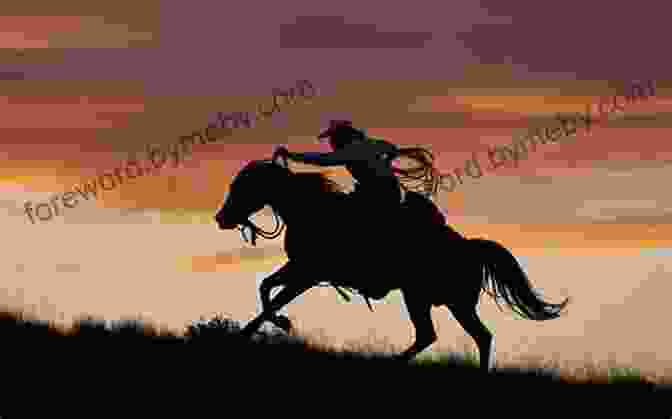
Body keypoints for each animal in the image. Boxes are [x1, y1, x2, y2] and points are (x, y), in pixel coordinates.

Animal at [213, 155, 568, 374]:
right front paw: (254, 330)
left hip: (431, 299)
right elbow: (266, 288)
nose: (221, 218)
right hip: (438, 301)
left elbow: (274, 298)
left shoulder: (309, 273)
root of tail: (469, 246)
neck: (312, 210)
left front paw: (273, 325)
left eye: (242, 186)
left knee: (456, 335)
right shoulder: (300, 269)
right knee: (464, 336)